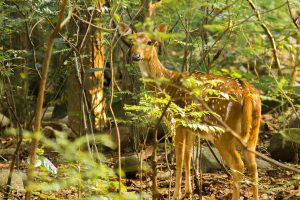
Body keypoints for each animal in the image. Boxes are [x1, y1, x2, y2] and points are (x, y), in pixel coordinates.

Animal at [118, 22, 262, 199]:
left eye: (150, 42)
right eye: (131, 41)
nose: (136, 56)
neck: (166, 85)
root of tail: (247, 93)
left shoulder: (177, 120)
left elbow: (179, 158)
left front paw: (176, 194)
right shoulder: (190, 127)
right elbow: (188, 155)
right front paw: (188, 191)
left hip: (222, 131)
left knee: (238, 165)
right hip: (253, 130)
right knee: (253, 165)